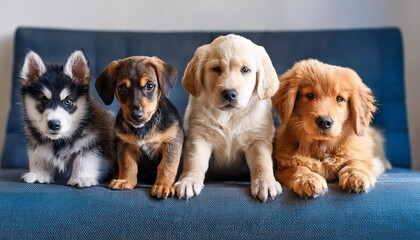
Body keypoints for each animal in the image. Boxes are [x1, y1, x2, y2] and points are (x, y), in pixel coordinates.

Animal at [19, 49, 115, 188]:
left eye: (68, 101)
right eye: (43, 100)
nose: (54, 124)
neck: (59, 141)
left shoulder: (93, 141)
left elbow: (84, 159)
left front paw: (81, 177)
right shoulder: (36, 142)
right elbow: (40, 156)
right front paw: (39, 174)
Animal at [95, 56, 184, 199]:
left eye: (150, 86)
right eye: (122, 88)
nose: (137, 115)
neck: (144, 128)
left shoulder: (172, 142)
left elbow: (166, 165)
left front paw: (163, 185)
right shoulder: (124, 144)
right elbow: (127, 164)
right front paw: (125, 180)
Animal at [174, 33, 282, 202]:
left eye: (245, 69)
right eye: (216, 69)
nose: (230, 94)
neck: (230, 116)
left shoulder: (257, 139)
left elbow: (262, 161)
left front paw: (265, 182)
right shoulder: (199, 136)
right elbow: (194, 160)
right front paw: (188, 181)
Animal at [272, 59, 390, 198]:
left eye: (340, 98)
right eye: (310, 95)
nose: (324, 122)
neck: (321, 147)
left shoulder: (365, 157)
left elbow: (356, 161)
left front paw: (356, 175)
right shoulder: (281, 168)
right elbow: (297, 168)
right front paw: (308, 179)